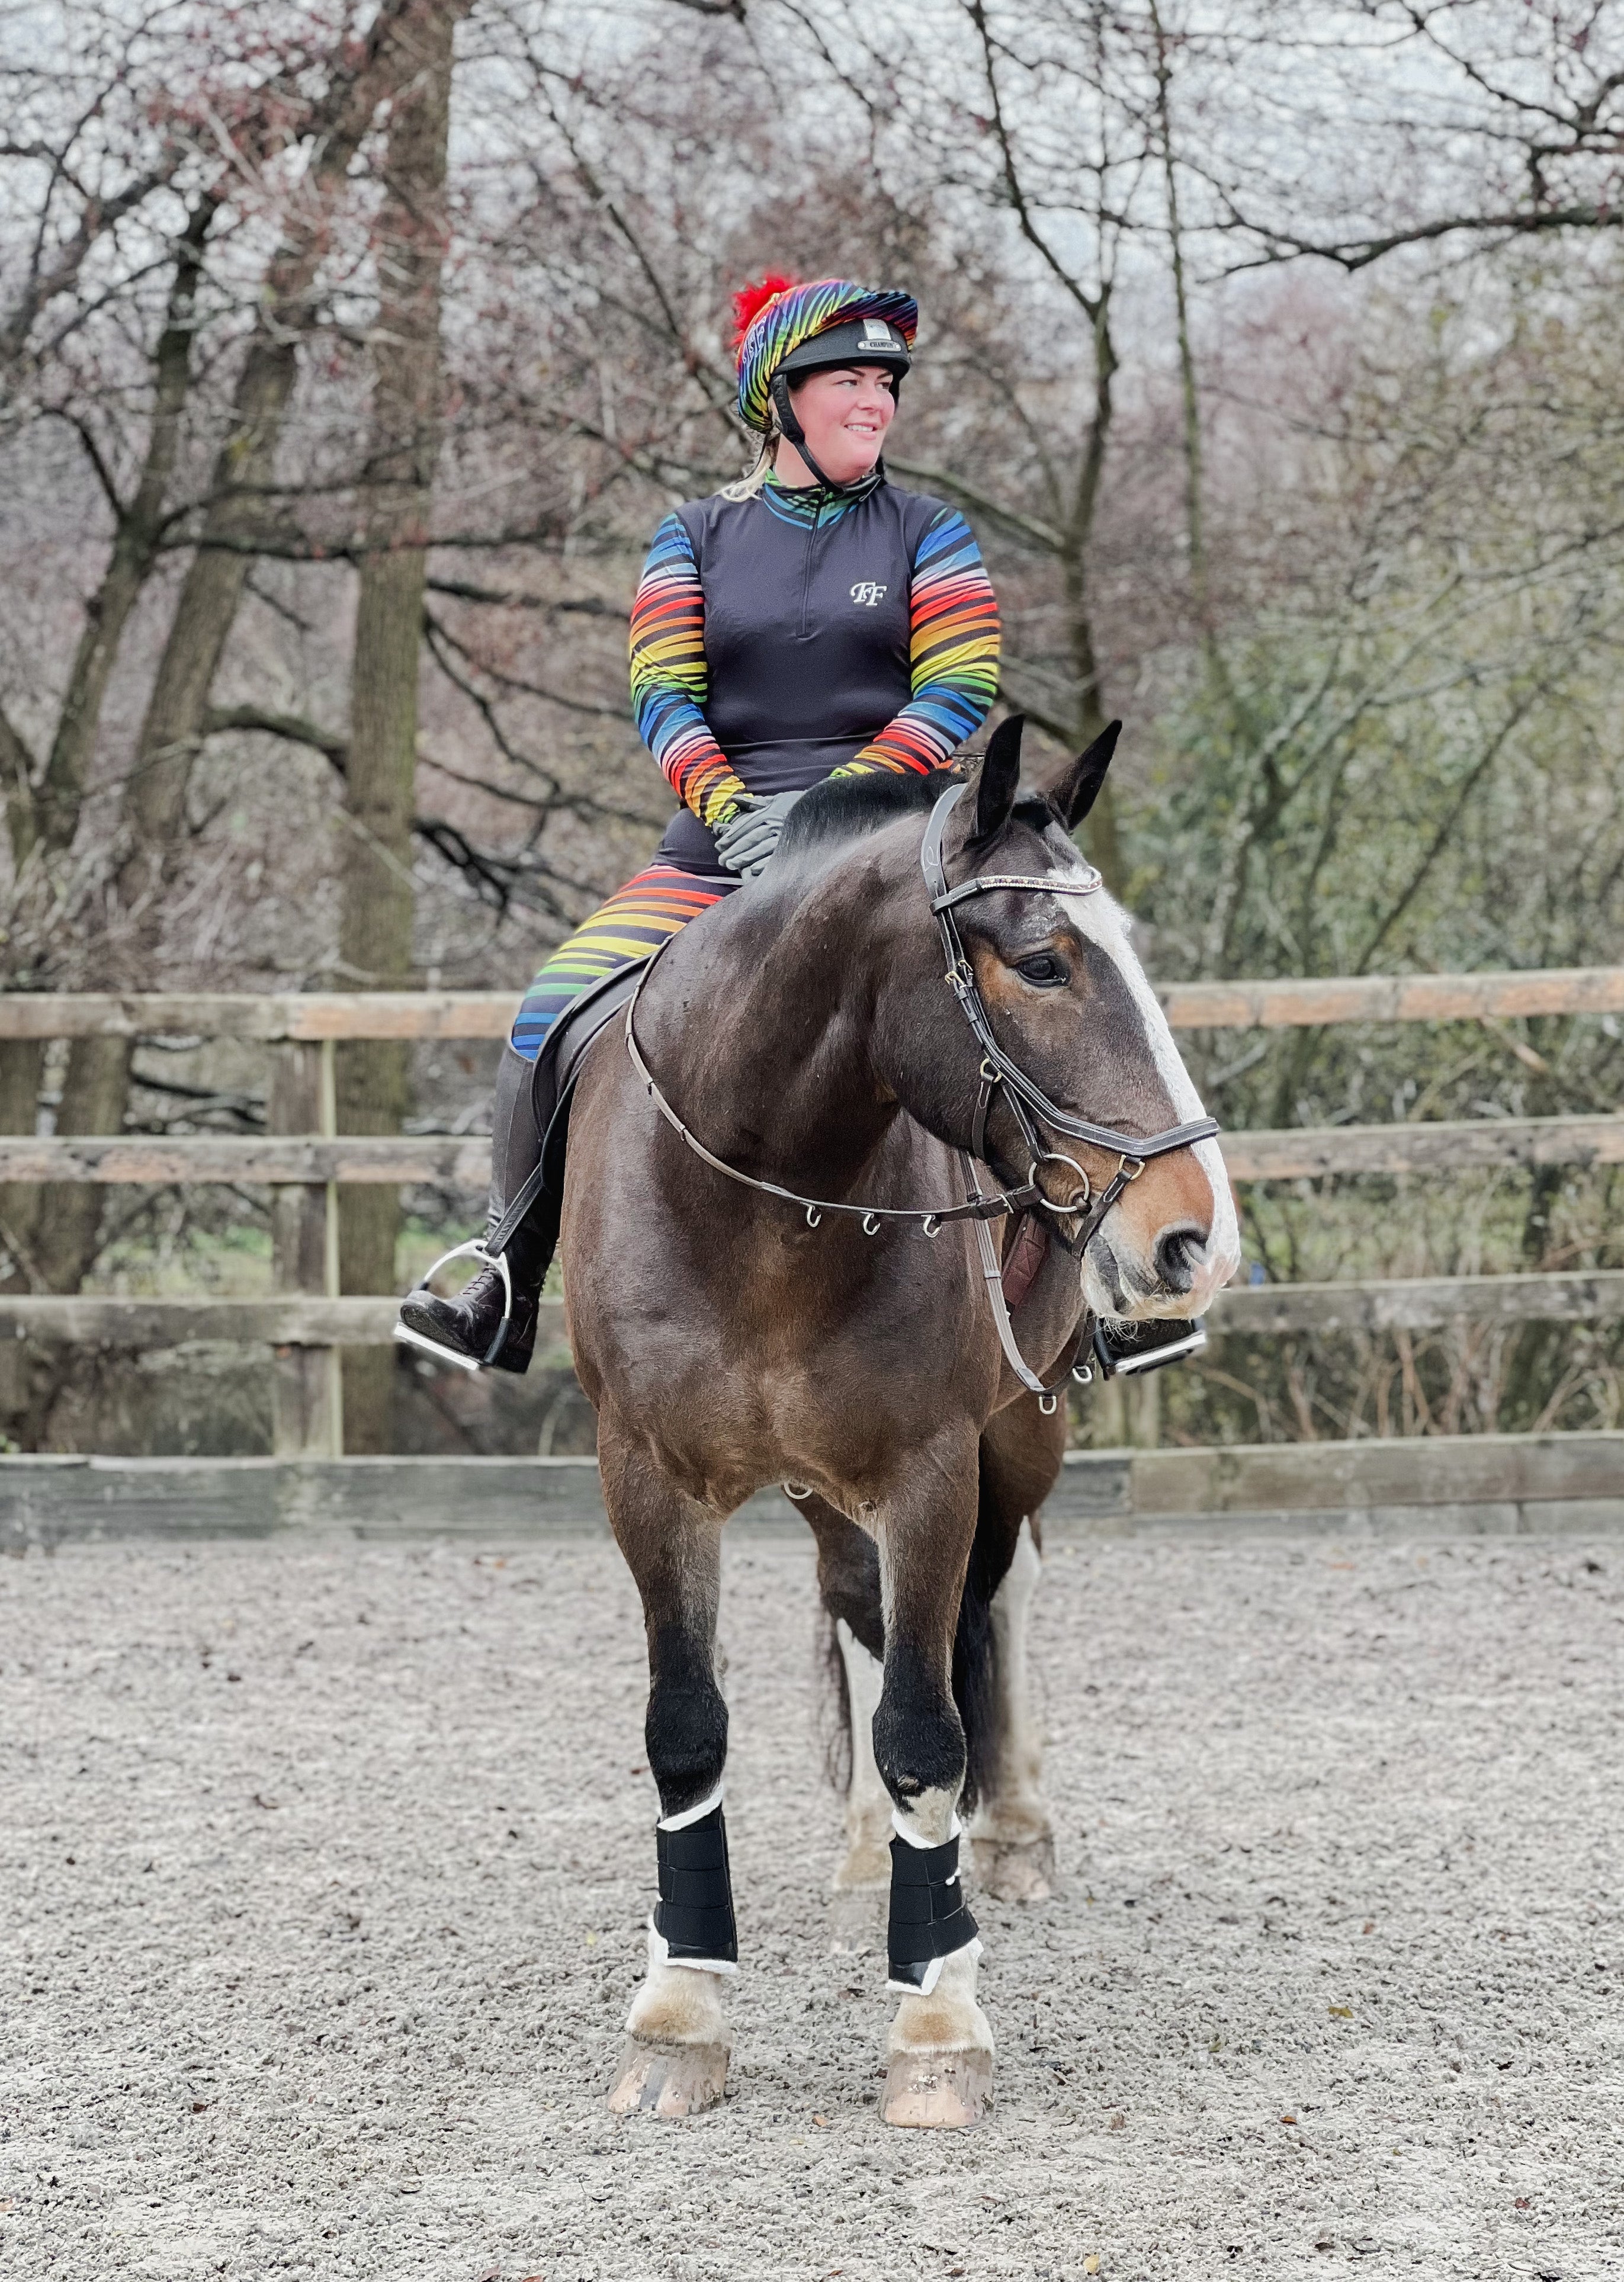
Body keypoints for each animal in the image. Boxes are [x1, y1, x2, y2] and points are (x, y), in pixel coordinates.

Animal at [566, 712, 1241, 2117]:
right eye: (1040, 961)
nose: (1198, 1238)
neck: (763, 1199)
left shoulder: (934, 1471)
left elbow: (929, 1730)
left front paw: (935, 2021)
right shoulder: (645, 1475)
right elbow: (686, 1728)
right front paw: (678, 2011)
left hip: (1018, 1435)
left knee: (1007, 1587)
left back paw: (1012, 1832)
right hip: (822, 1481)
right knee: (857, 1607)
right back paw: (874, 1854)